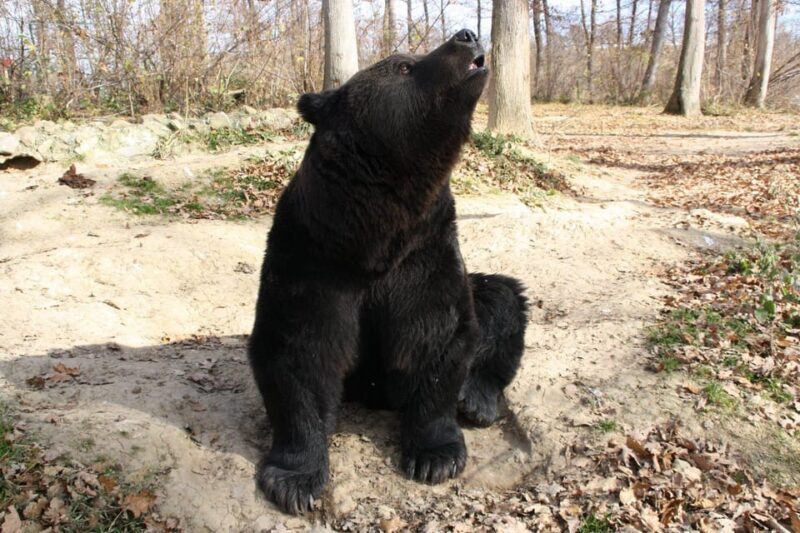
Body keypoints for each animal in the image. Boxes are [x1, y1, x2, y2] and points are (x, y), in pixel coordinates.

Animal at [248, 29, 529, 515]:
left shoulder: (425, 251)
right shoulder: (311, 253)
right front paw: (293, 480)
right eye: (403, 65)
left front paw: (434, 456)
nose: (467, 35)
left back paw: (476, 398)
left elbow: (436, 335)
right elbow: (298, 350)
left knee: (502, 299)